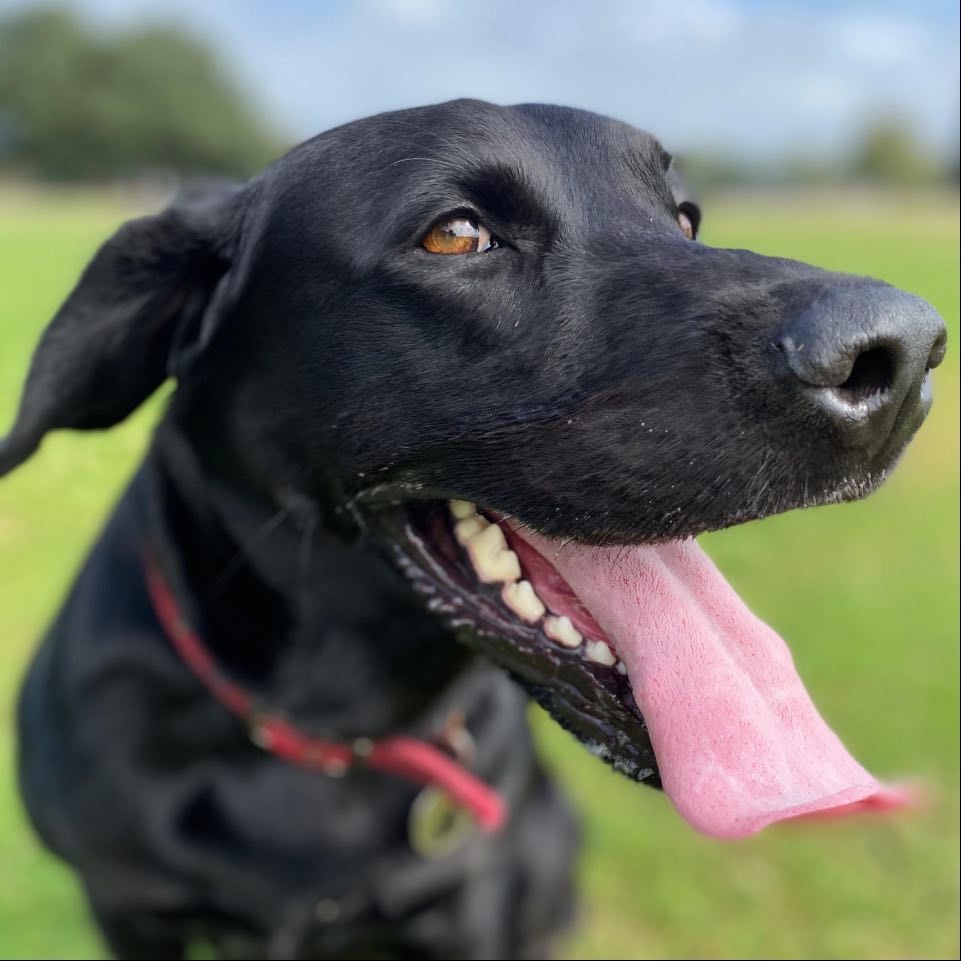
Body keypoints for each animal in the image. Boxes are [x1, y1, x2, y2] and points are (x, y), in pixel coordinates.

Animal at [0, 101, 944, 956]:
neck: (333, 731)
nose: (901, 357)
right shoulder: (131, 911)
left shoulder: (466, 903)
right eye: (455, 235)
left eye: (685, 217)